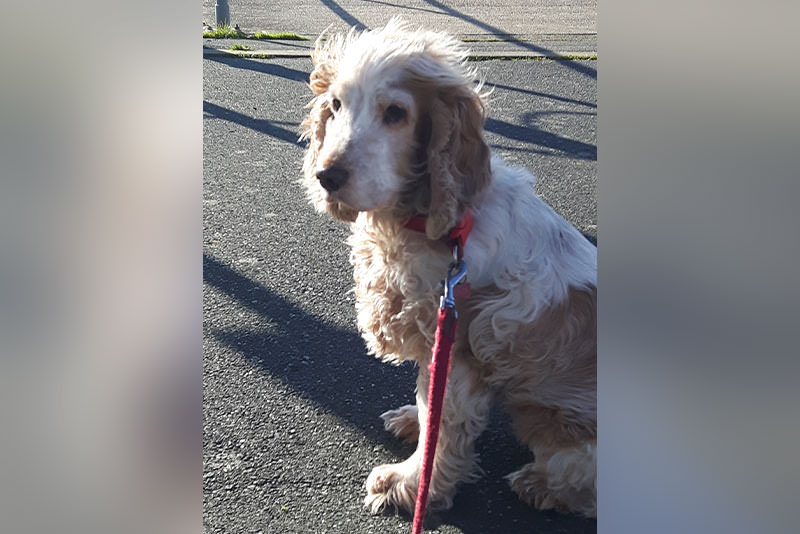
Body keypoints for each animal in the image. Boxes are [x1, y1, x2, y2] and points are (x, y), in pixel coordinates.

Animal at [298, 19, 592, 520]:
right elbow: (426, 397)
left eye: (396, 113)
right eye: (335, 105)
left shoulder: (457, 351)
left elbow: (445, 421)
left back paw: (541, 485)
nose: (327, 176)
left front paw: (409, 483)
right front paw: (414, 423)